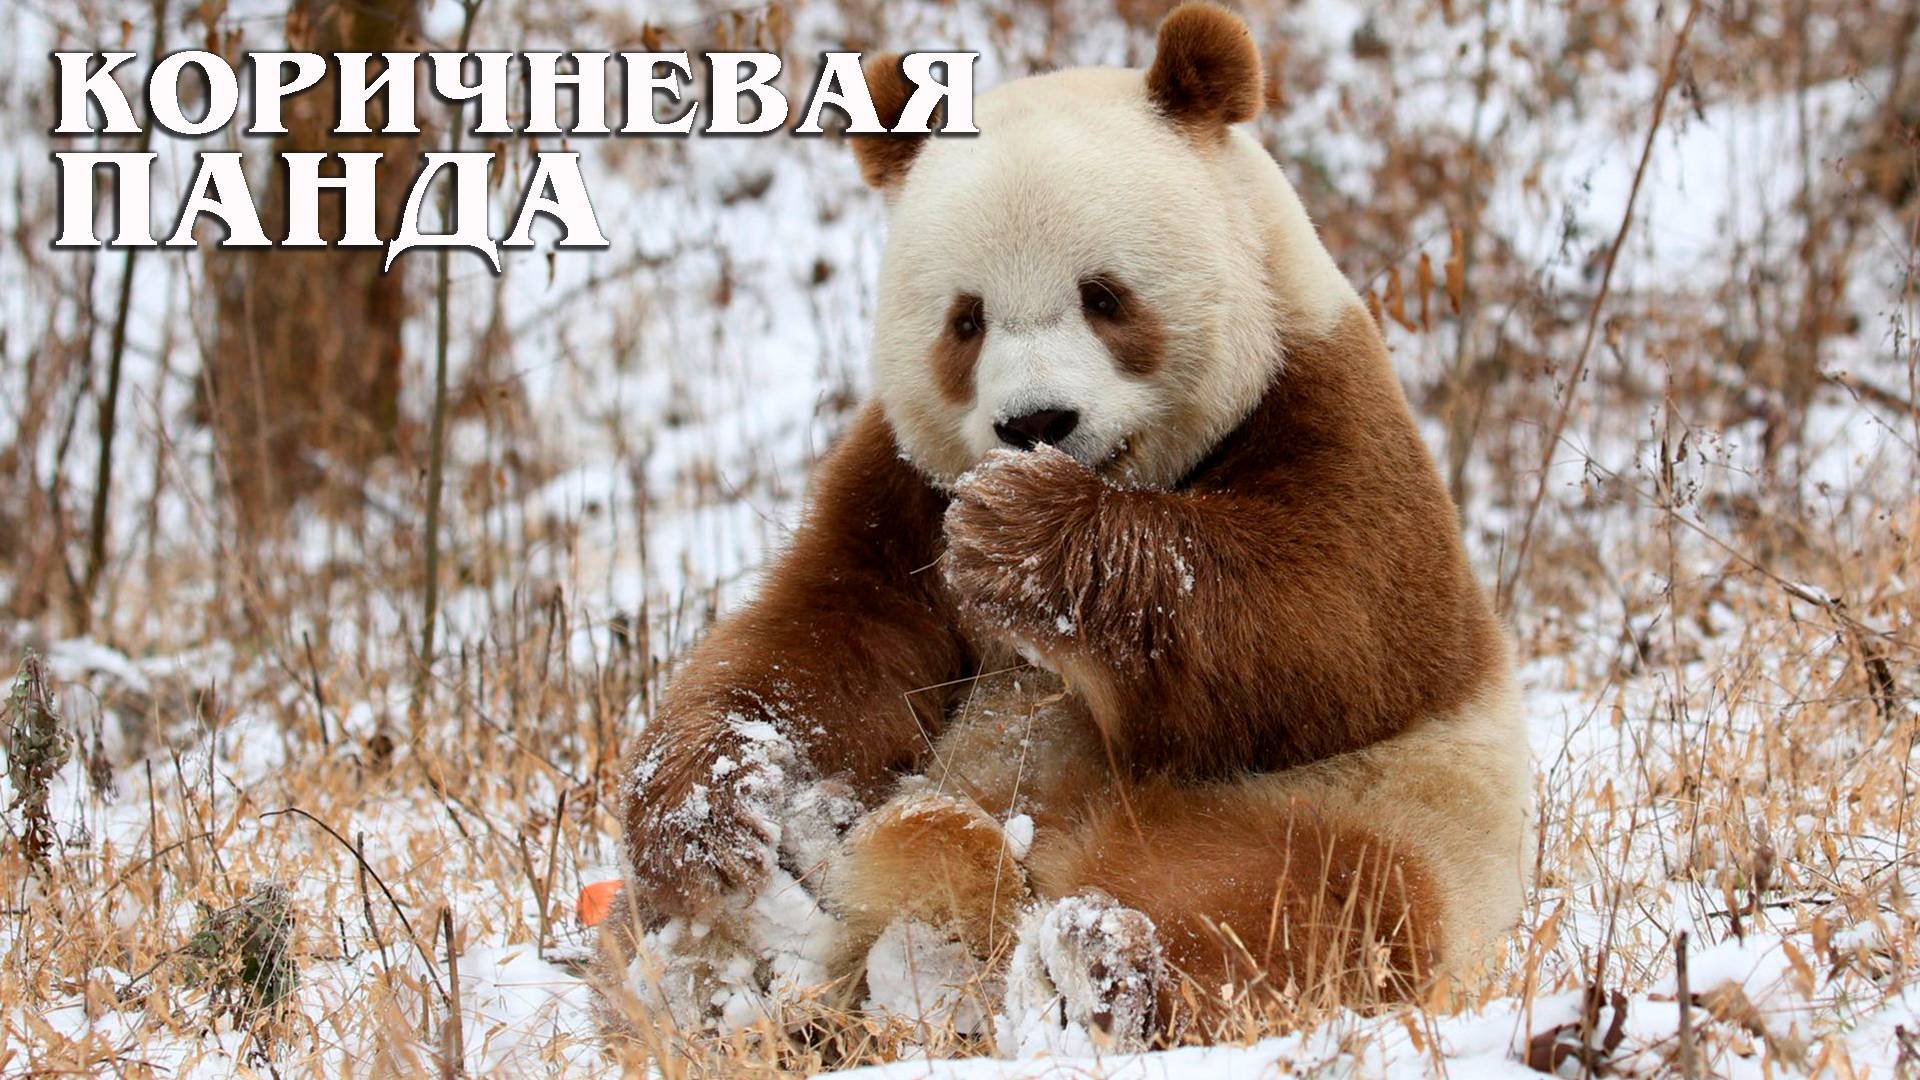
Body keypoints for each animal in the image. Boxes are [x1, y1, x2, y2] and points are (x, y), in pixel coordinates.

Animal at [600, 0, 1533, 1054]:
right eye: (966, 321)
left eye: (1104, 295)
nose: (1036, 422)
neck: (1138, 477)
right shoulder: (900, 485)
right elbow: (828, 643)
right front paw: (714, 814)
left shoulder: (1327, 403)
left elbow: (1335, 624)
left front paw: (1022, 536)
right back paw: (742, 972)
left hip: (1367, 808)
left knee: (1307, 901)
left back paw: (1087, 964)